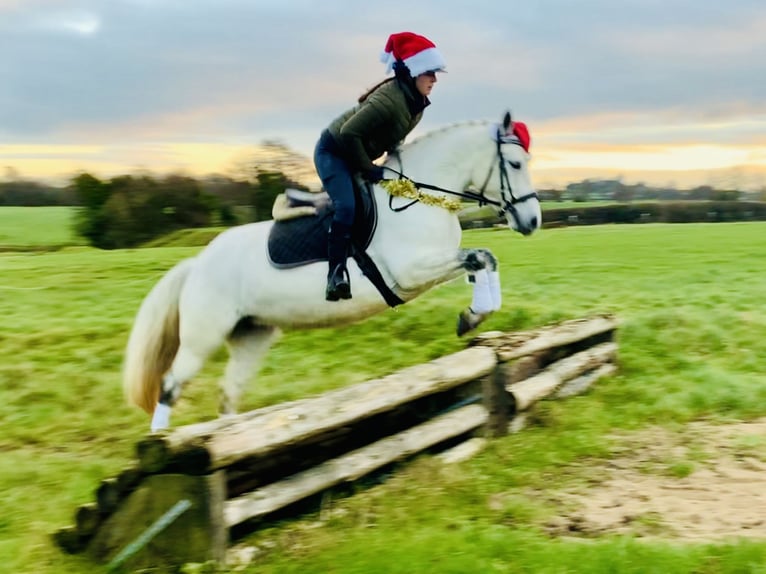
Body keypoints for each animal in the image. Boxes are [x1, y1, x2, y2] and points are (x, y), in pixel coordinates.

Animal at [126, 113, 544, 432]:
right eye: (516, 164)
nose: (533, 221)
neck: (417, 198)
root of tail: (197, 264)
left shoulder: (435, 265)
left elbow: (484, 259)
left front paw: (473, 316)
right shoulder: (411, 272)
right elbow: (479, 257)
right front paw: (471, 317)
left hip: (251, 336)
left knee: (227, 397)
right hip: (202, 337)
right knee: (169, 386)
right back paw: (163, 444)